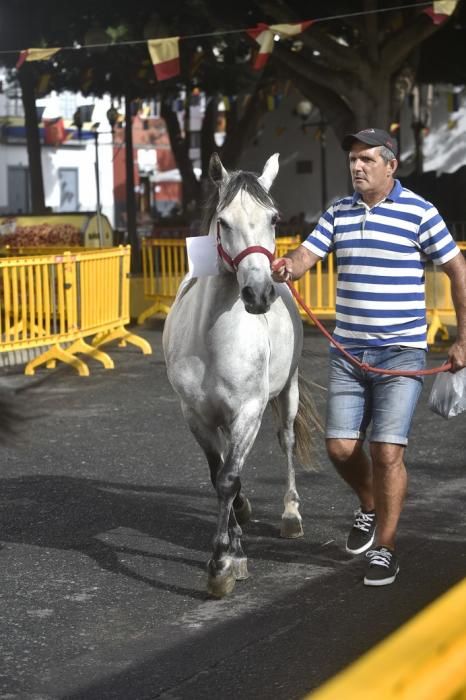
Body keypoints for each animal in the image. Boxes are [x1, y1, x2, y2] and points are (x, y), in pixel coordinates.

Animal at [162, 152, 318, 596]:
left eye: (274, 219)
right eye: (223, 221)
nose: (259, 294)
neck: (212, 340)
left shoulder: (248, 412)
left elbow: (228, 479)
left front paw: (221, 564)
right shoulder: (195, 416)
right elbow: (219, 475)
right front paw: (233, 547)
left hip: (287, 391)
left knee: (285, 441)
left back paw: (290, 515)